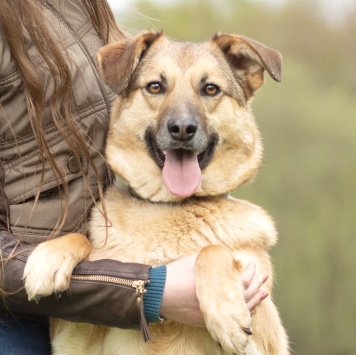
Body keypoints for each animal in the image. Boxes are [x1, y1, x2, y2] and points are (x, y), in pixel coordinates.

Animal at [23, 32, 290, 354]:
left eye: (210, 88)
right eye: (155, 86)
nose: (182, 128)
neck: (168, 207)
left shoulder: (260, 340)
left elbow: (212, 250)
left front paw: (226, 314)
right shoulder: (74, 338)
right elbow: (82, 241)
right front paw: (49, 258)